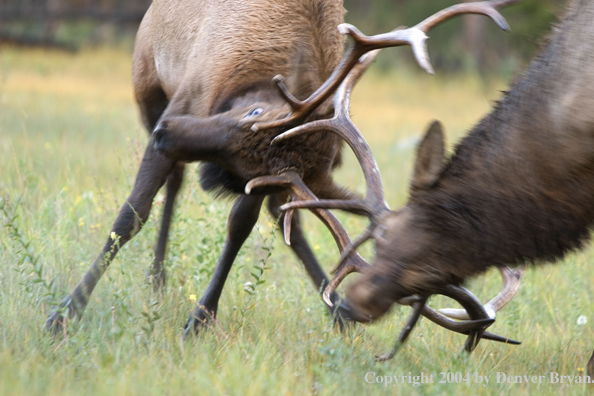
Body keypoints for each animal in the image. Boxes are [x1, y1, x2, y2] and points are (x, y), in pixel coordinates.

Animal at [46, 0, 516, 338]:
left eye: (244, 163)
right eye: (253, 110)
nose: (167, 131)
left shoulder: (267, 180)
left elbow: (240, 227)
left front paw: (200, 318)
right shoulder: (186, 98)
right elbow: (131, 215)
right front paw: (65, 313)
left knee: (283, 219)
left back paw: (335, 309)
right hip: (148, 85)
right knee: (176, 183)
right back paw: (157, 278)